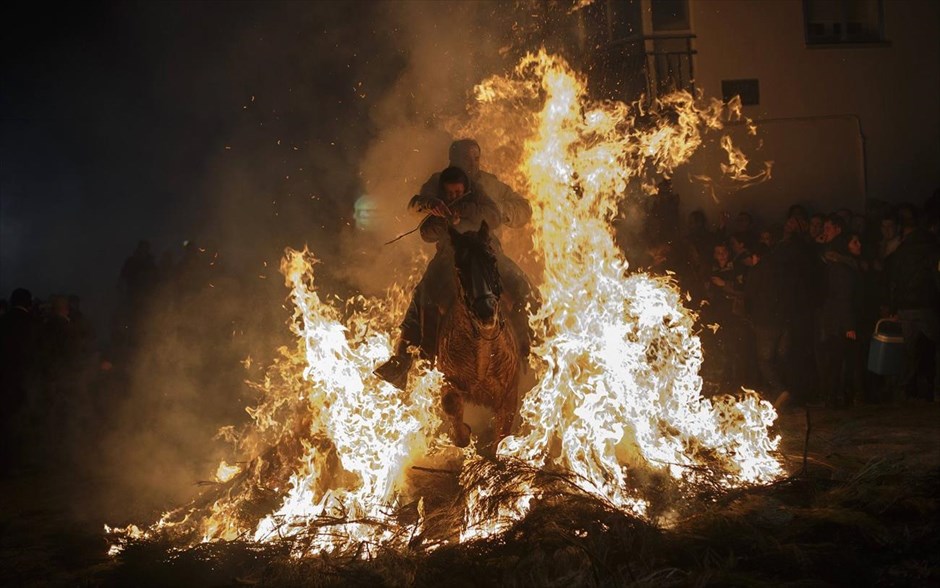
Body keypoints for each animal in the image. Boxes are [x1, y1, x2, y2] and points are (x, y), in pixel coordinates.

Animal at [436, 220, 524, 446]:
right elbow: (450, 404)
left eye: (492, 260)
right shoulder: (446, 380)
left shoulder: (508, 397)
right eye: (459, 268)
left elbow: (500, 438)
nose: (486, 311)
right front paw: (463, 435)